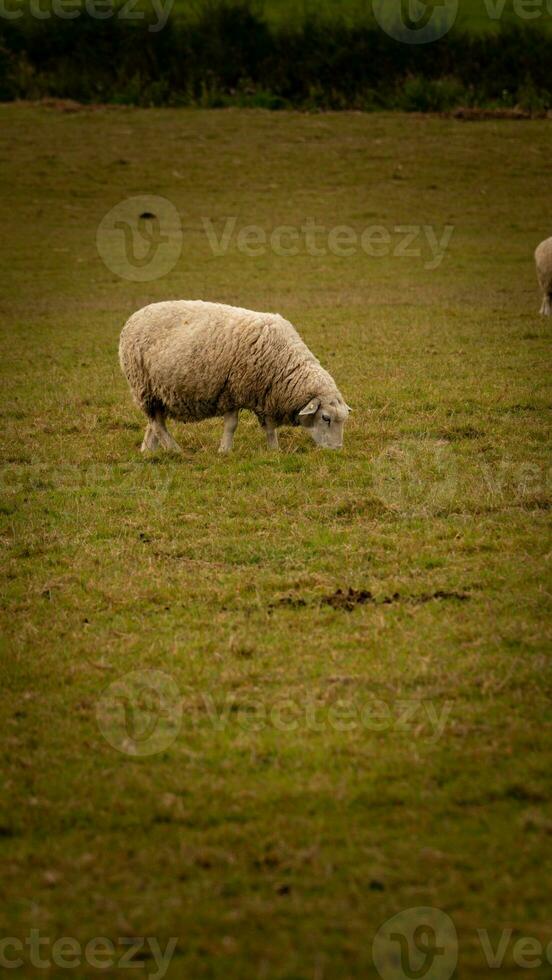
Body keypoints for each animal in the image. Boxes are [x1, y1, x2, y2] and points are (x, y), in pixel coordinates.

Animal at [119, 300, 352, 454]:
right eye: (326, 418)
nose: (337, 450)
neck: (284, 363)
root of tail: (134, 316)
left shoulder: (265, 394)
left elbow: (269, 427)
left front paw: (274, 450)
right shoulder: (232, 390)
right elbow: (231, 425)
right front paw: (225, 450)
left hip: (157, 391)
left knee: (154, 422)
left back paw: (148, 451)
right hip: (143, 385)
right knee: (157, 424)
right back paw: (175, 450)